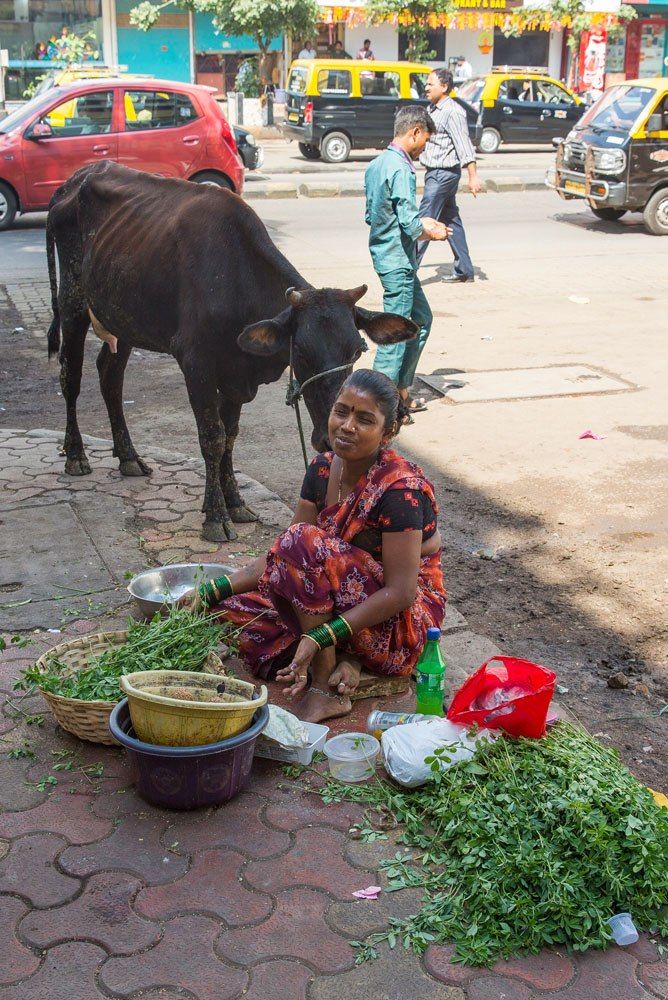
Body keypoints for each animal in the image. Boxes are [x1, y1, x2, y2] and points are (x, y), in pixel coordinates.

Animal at [44, 162, 414, 540]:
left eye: (355, 351)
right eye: (301, 353)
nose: (330, 438)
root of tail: (75, 180)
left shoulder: (236, 377)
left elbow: (230, 437)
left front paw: (234, 502)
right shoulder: (196, 363)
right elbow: (212, 437)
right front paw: (215, 515)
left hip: (122, 318)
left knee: (110, 376)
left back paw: (128, 456)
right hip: (73, 302)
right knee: (71, 376)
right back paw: (75, 455)